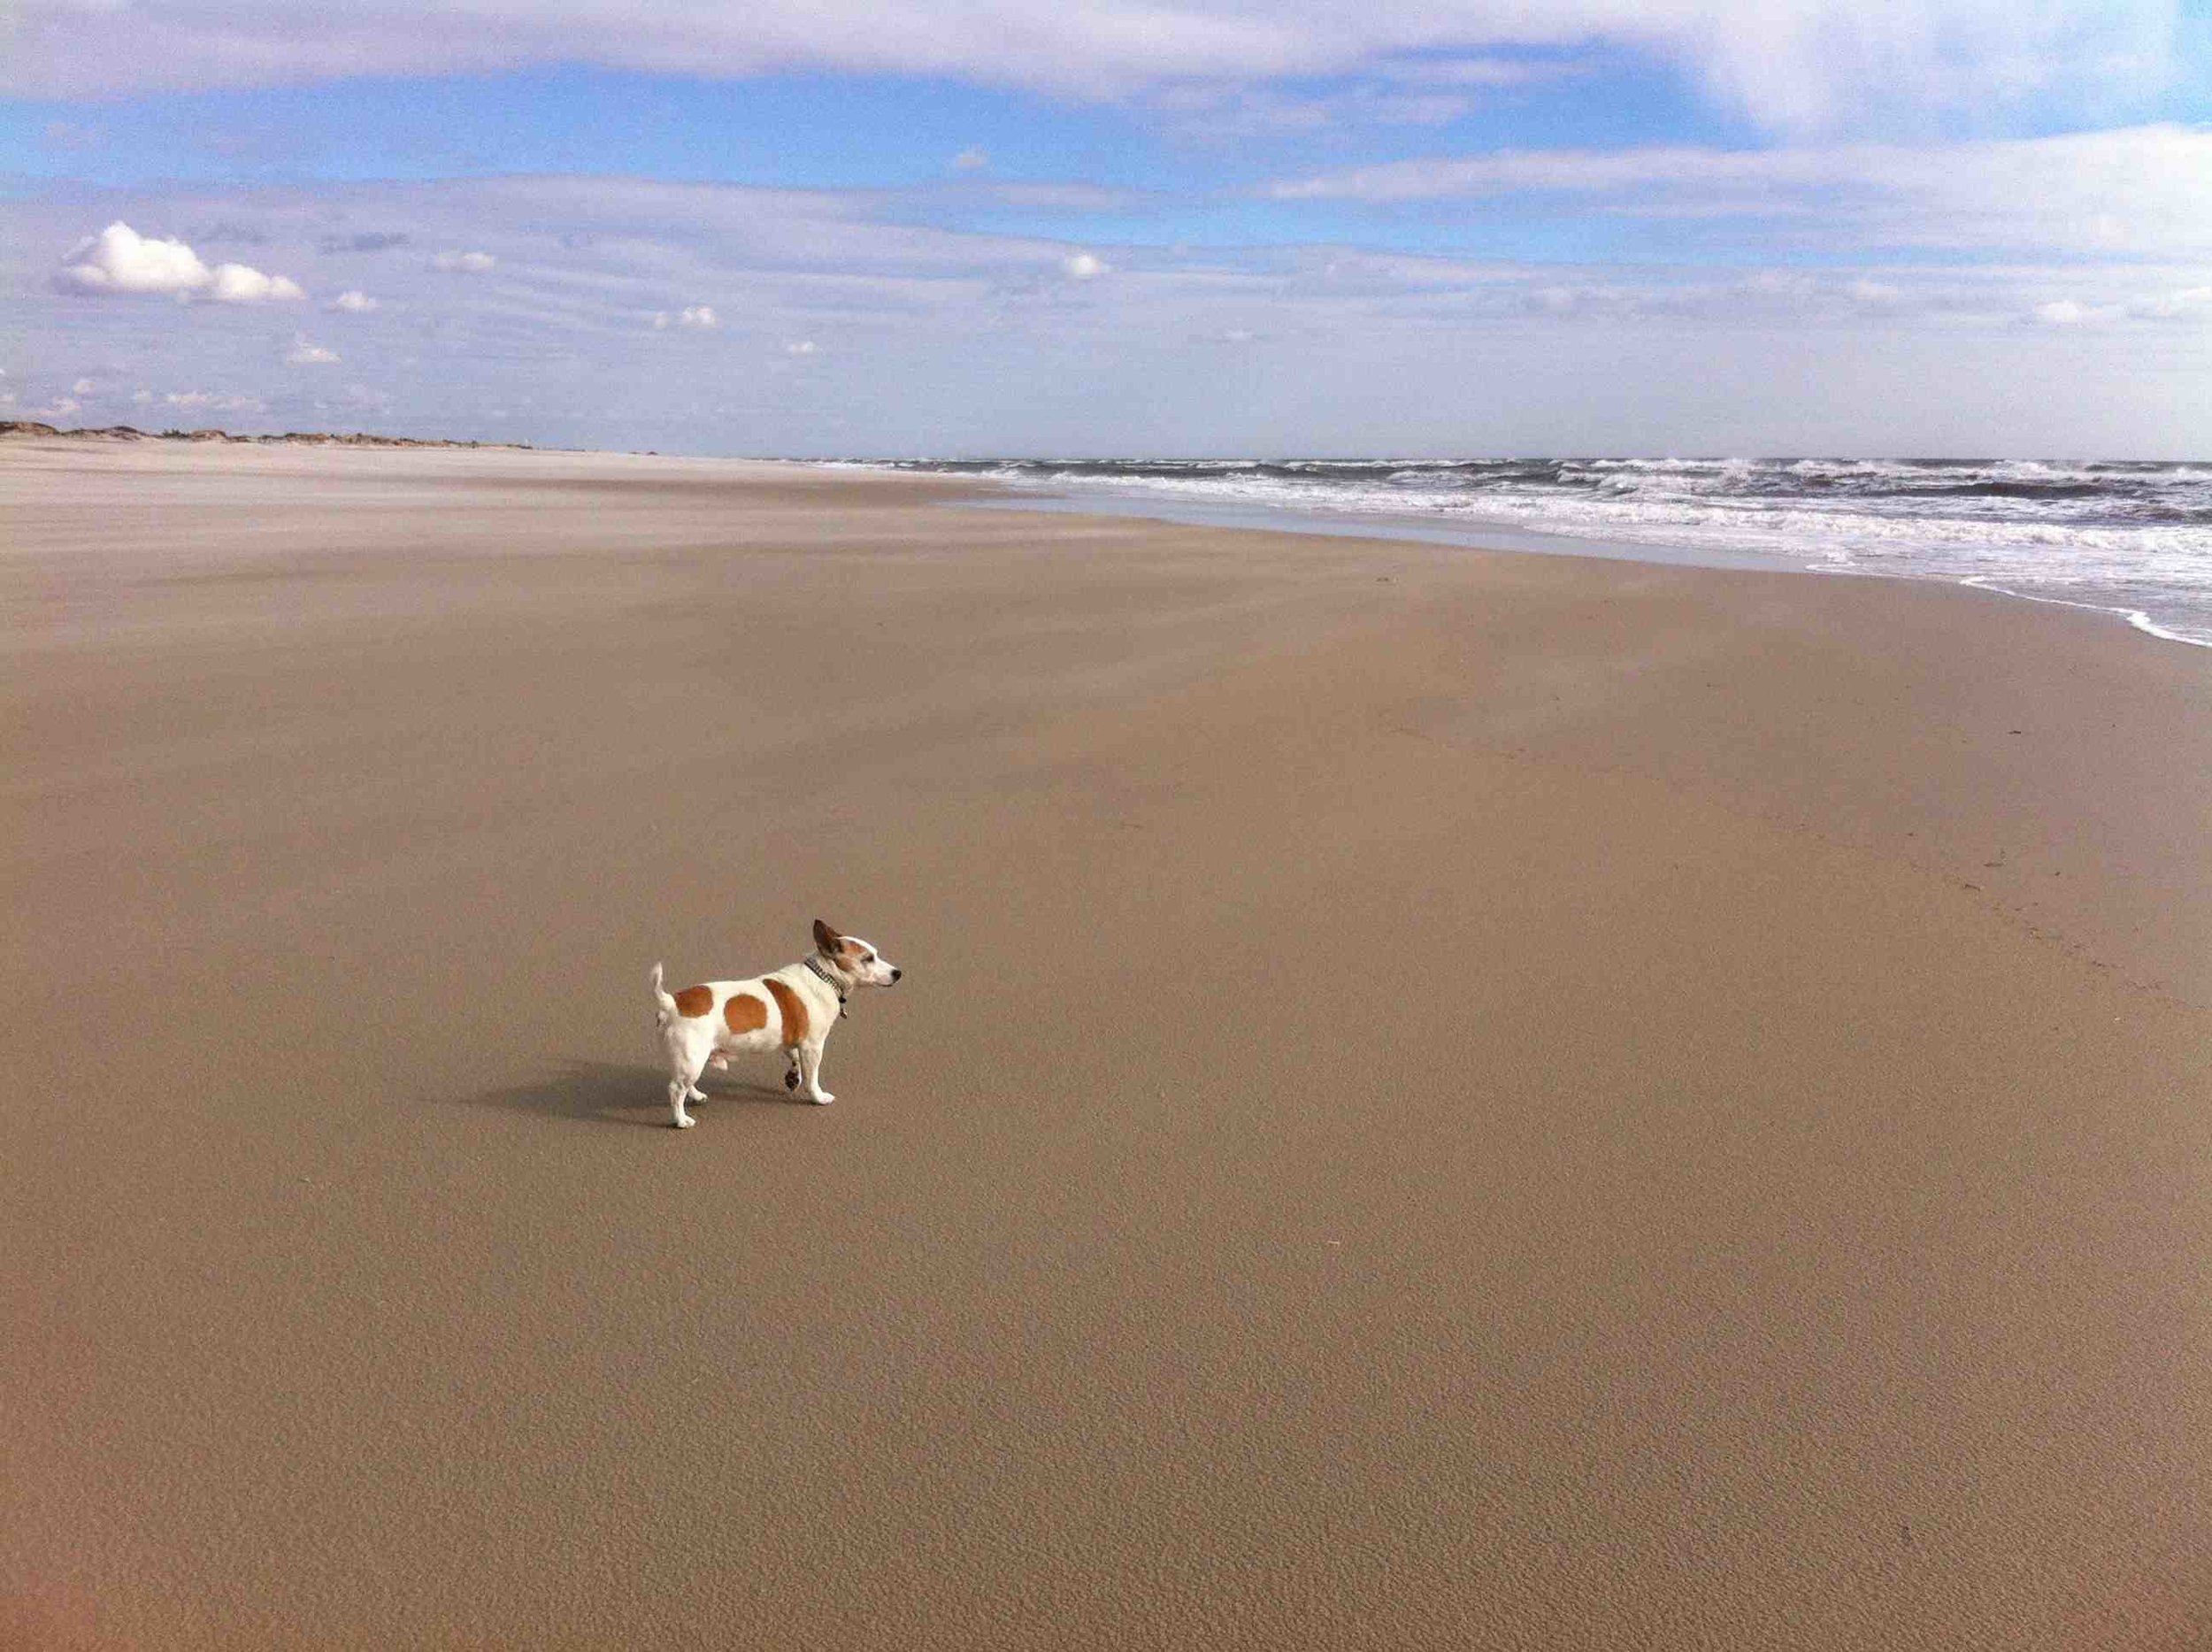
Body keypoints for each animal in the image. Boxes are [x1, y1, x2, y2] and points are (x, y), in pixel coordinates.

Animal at [646, 924, 898, 1132]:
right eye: (868, 959)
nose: (899, 973)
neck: (823, 976)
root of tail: (671, 1002)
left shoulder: (793, 1040)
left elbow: (794, 1058)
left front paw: (793, 1077)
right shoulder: (813, 1046)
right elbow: (812, 1076)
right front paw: (817, 1096)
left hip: (691, 1060)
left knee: (684, 1084)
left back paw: (696, 1096)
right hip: (692, 1058)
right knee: (675, 1089)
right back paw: (681, 1120)